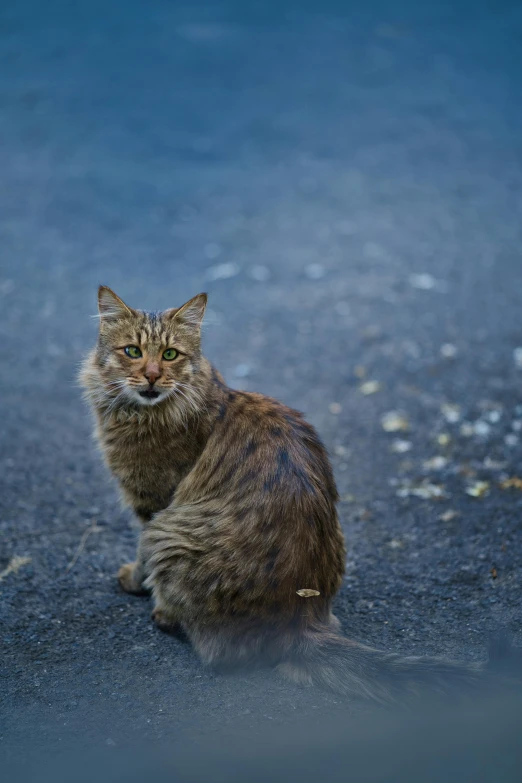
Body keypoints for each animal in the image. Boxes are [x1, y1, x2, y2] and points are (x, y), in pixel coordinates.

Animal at [79, 284, 498, 700]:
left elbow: (140, 554)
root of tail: (300, 623)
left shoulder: (153, 504)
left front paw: (135, 581)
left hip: (168, 533)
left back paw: (166, 616)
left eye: (169, 355)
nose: (151, 376)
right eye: (133, 352)